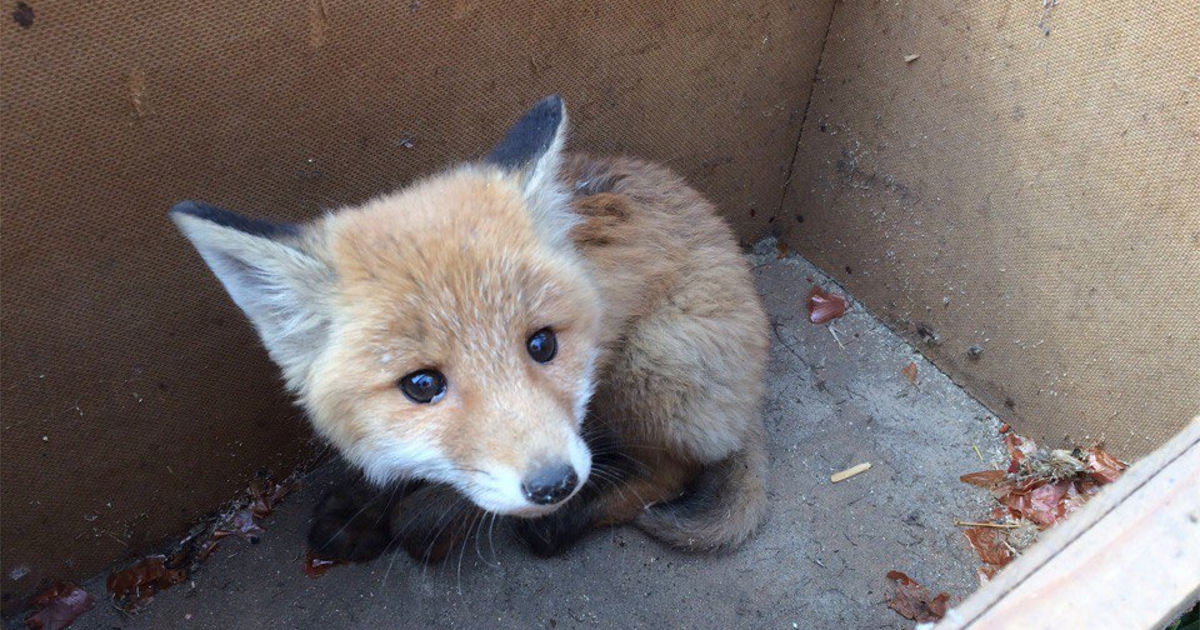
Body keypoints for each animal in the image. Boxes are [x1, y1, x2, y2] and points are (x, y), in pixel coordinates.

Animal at [169, 97, 768, 559]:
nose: (554, 486)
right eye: (422, 385)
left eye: (542, 344)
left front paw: (419, 517)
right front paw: (369, 505)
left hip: (646, 361)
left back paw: (566, 522)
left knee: (673, 472)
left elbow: (454, 497)